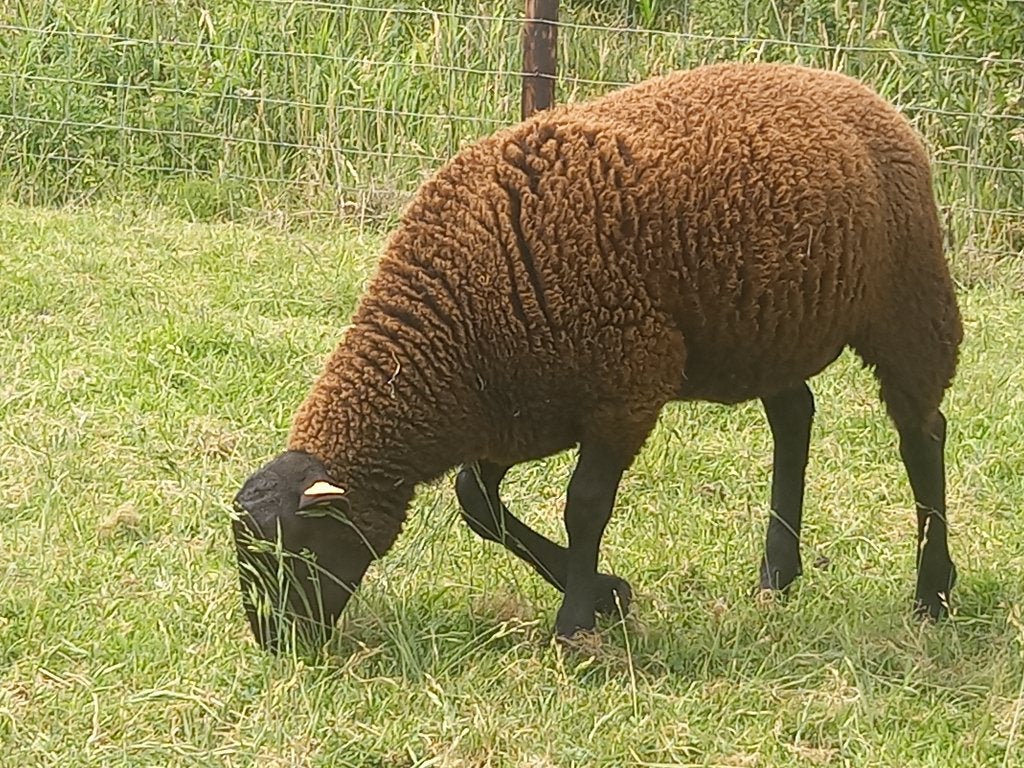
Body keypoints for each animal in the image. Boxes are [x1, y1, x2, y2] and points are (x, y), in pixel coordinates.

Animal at [232, 61, 962, 652]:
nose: (276, 646)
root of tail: (854, 88)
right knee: (795, 417)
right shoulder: (519, 407)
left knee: (921, 434)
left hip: (908, 299)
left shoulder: (623, 389)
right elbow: (476, 502)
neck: (450, 331)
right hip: (762, 329)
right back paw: (777, 575)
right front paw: (609, 593)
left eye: (289, 554)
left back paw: (933, 591)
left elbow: (583, 505)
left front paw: (576, 622)